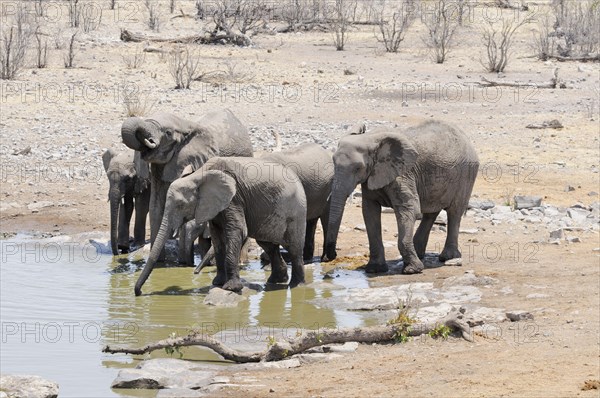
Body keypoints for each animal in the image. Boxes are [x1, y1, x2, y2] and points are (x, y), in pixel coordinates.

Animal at [120, 108, 254, 262]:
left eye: (168, 133)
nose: (149, 140)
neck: (183, 124)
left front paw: (183, 263)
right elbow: (155, 207)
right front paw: (160, 263)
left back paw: (242, 261)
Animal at [134, 156, 308, 296]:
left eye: (181, 205)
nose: (139, 292)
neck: (200, 175)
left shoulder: (234, 198)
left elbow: (237, 230)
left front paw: (231, 288)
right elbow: (217, 236)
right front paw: (217, 283)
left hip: (296, 211)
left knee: (294, 248)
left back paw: (296, 286)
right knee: (268, 245)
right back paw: (275, 281)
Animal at [322, 119, 480, 274]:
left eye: (358, 168)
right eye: (333, 164)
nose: (330, 257)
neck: (370, 138)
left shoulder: (402, 173)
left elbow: (409, 208)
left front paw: (412, 270)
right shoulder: (372, 176)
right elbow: (369, 212)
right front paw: (374, 269)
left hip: (466, 173)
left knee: (455, 212)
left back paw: (448, 257)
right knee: (431, 212)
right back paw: (419, 253)